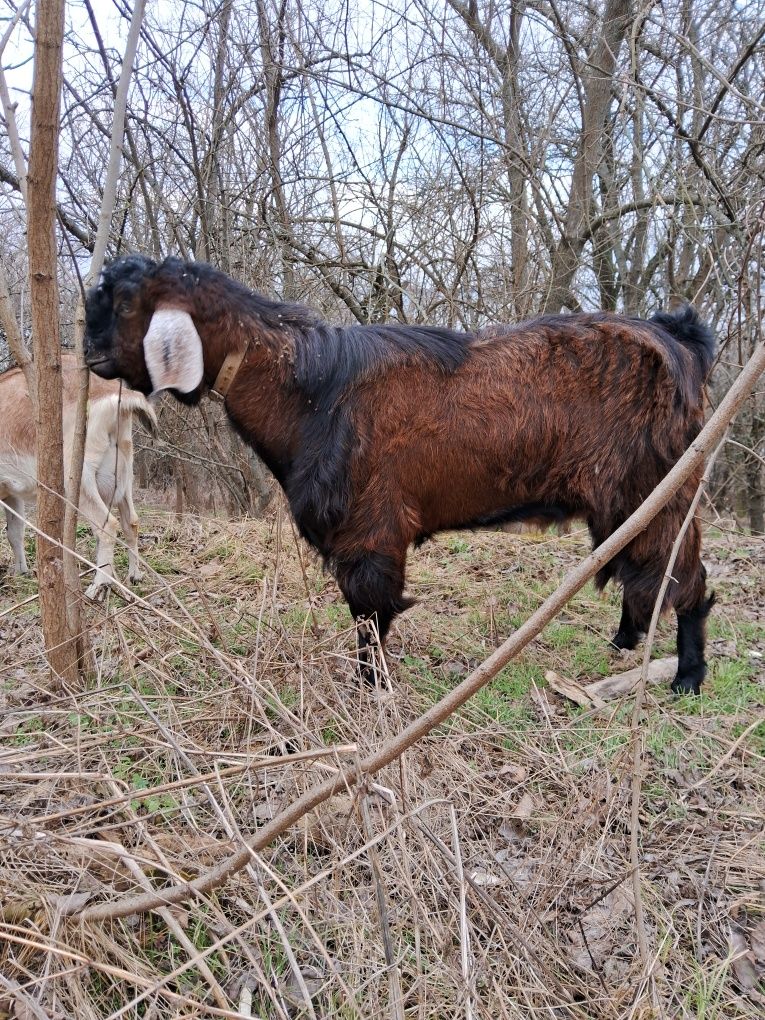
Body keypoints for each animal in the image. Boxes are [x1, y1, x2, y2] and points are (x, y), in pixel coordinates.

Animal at [0, 352, 157, 595]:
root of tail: (115, 394)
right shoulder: (11, 493)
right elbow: (15, 533)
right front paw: (21, 572)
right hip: (124, 474)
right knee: (131, 522)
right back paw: (134, 576)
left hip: (79, 478)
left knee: (107, 525)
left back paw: (98, 586)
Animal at [83, 259, 718, 697]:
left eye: (126, 304)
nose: (88, 354)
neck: (311, 390)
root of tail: (680, 341)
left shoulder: (370, 529)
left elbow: (370, 615)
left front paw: (371, 688)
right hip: (629, 502)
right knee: (641, 571)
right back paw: (625, 642)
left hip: (662, 489)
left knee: (684, 579)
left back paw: (687, 677)